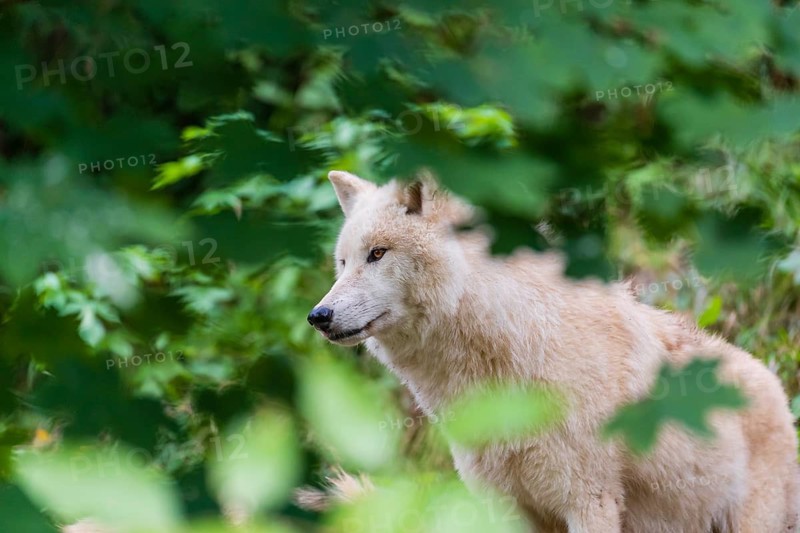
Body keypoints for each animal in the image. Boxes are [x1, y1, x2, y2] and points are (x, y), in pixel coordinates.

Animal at [308, 170, 800, 532]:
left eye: (377, 253)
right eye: (343, 263)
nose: (318, 315)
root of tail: (778, 389)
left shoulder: (588, 500)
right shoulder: (505, 508)